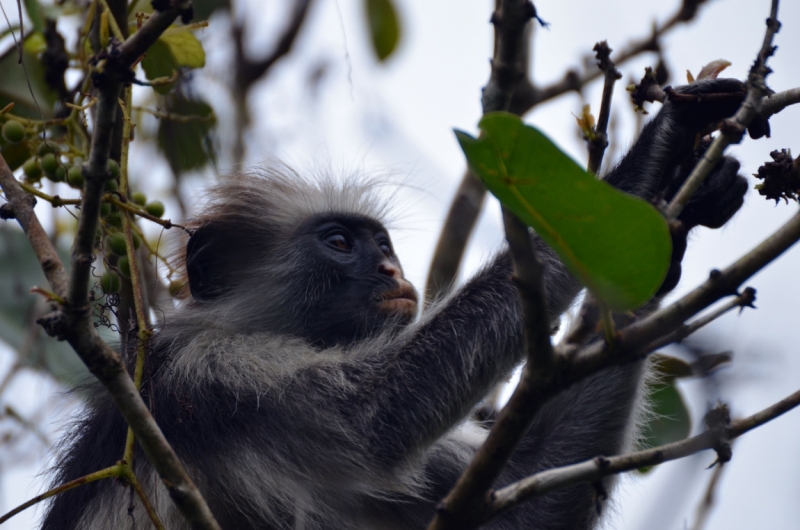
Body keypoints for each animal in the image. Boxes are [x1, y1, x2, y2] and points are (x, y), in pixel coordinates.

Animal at [42, 76, 764, 524]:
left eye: (383, 244)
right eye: (340, 243)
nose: (392, 269)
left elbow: (530, 502)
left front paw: (672, 213)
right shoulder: (216, 374)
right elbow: (376, 419)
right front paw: (652, 157)